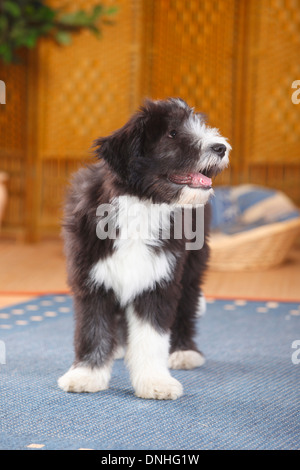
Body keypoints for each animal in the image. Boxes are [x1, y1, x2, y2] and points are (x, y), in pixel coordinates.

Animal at [58, 97, 231, 398]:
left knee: (186, 305)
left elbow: (151, 338)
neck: (143, 204)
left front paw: (155, 381)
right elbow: (93, 329)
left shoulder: (159, 281)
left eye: (199, 124)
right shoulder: (92, 279)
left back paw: (184, 351)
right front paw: (87, 375)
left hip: (192, 266)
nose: (220, 147)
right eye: (172, 133)